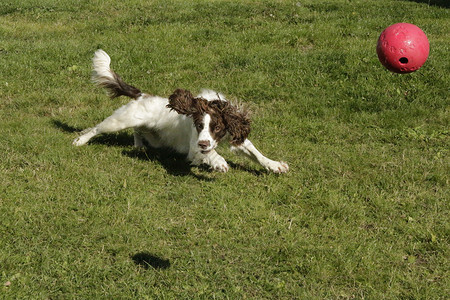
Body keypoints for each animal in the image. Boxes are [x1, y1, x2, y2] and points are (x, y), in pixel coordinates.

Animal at [71, 49, 288, 173]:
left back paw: (139, 146)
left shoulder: (234, 135)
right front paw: (218, 162)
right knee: (97, 129)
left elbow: (256, 153)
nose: (203, 142)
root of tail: (141, 95)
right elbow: (208, 153)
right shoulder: (193, 147)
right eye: (199, 125)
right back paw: (80, 141)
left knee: (138, 131)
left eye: (217, 127)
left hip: (153, 136)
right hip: (122, 120)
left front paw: (275, 165)